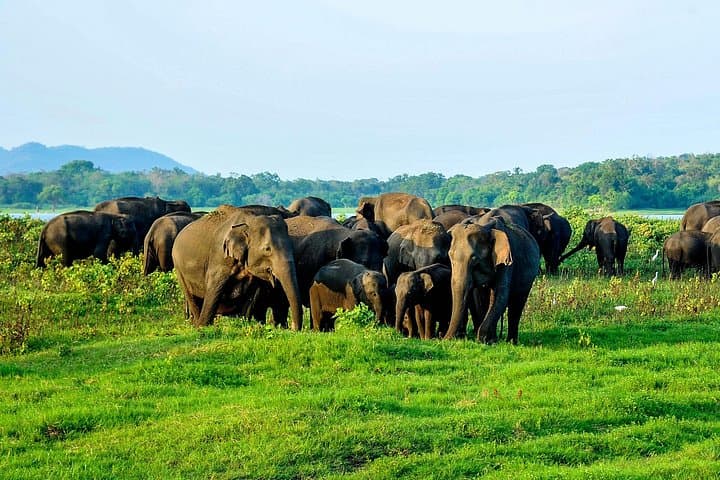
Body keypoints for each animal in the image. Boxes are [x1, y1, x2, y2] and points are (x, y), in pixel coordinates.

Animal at [171, 205, 303, 329]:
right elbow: (214, 289)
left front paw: (243, 323)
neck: (249, 221)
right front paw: (203, 327)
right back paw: (196, 324)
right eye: (267, 249)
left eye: (292, 246)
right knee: (192, 297)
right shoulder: (219, 257)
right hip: (178, 268)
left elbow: (251, 296)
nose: (294, 329)